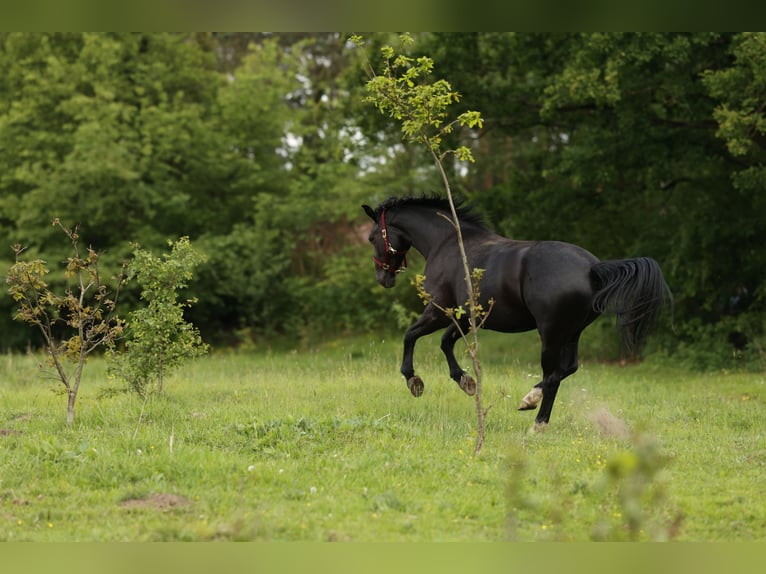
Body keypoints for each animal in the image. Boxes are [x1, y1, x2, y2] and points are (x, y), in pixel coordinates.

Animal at [362, 195, 671, 427]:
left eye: (371, 237)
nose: (383, 278)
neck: (448, 242)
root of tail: (592, 269)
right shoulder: (465, 317)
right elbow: (445, 342)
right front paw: (466, 381)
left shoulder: (441, 311)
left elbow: (413, 335)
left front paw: (415, 381)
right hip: (572, 333)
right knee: (567, 369)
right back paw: (532, 407)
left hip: (551, 333)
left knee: (553, 374)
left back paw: (535, 416)